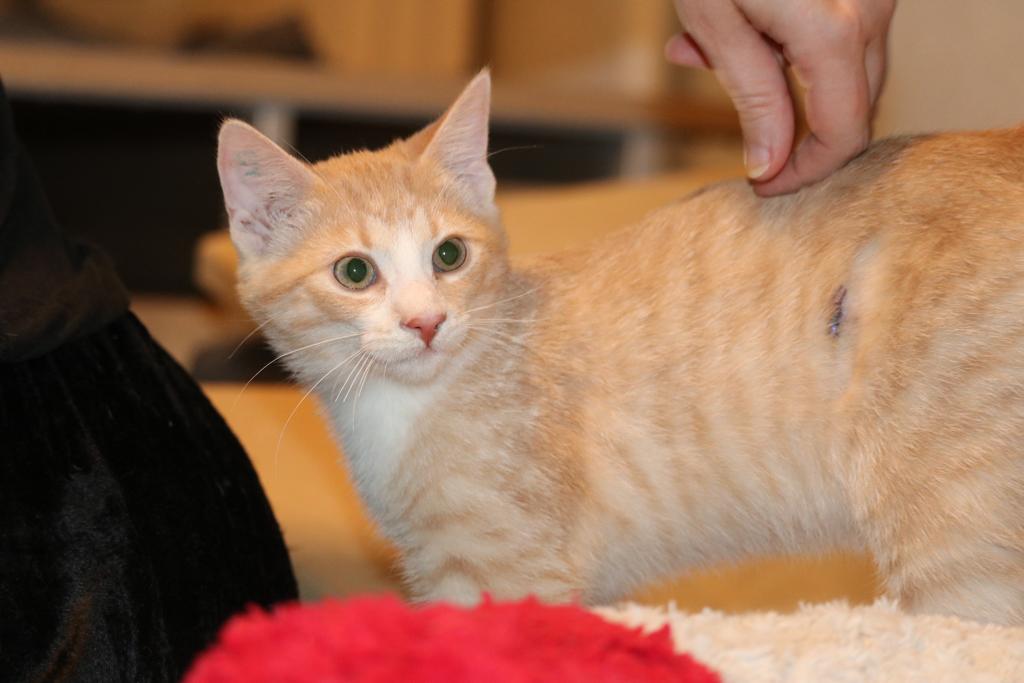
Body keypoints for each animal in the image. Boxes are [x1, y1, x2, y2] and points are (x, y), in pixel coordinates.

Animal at [216, 70, 1024, 626]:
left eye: (448, 255)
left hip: (954, 521)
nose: (426, 322)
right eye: (355, 272)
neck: (402, 407)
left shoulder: (508, 573)